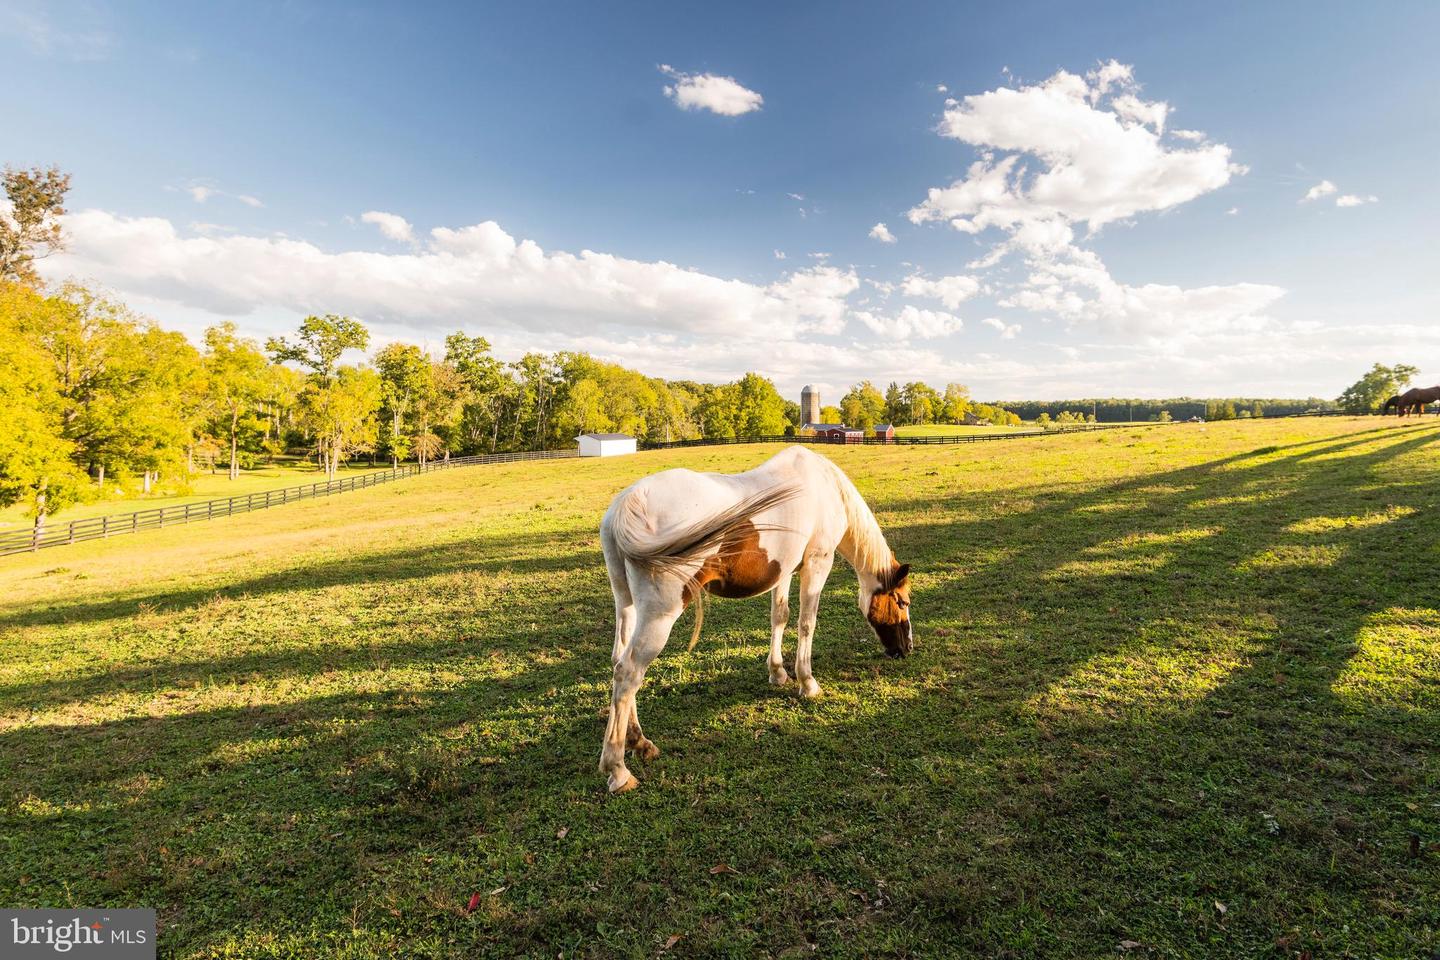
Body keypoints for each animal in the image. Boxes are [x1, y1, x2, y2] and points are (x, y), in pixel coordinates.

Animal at [596, 446, 910, 794]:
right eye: (902, 601)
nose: (905, 649)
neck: (825, 486)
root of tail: (628, 504)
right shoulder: (817, 564)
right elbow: (806, 623)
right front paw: (807, 683)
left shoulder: (786, 570)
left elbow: (780, 617)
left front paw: (777, 672)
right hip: (659, 615)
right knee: (629, 673)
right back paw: (618, 769)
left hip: (626, 604)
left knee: (619, 663)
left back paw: (639, 742)